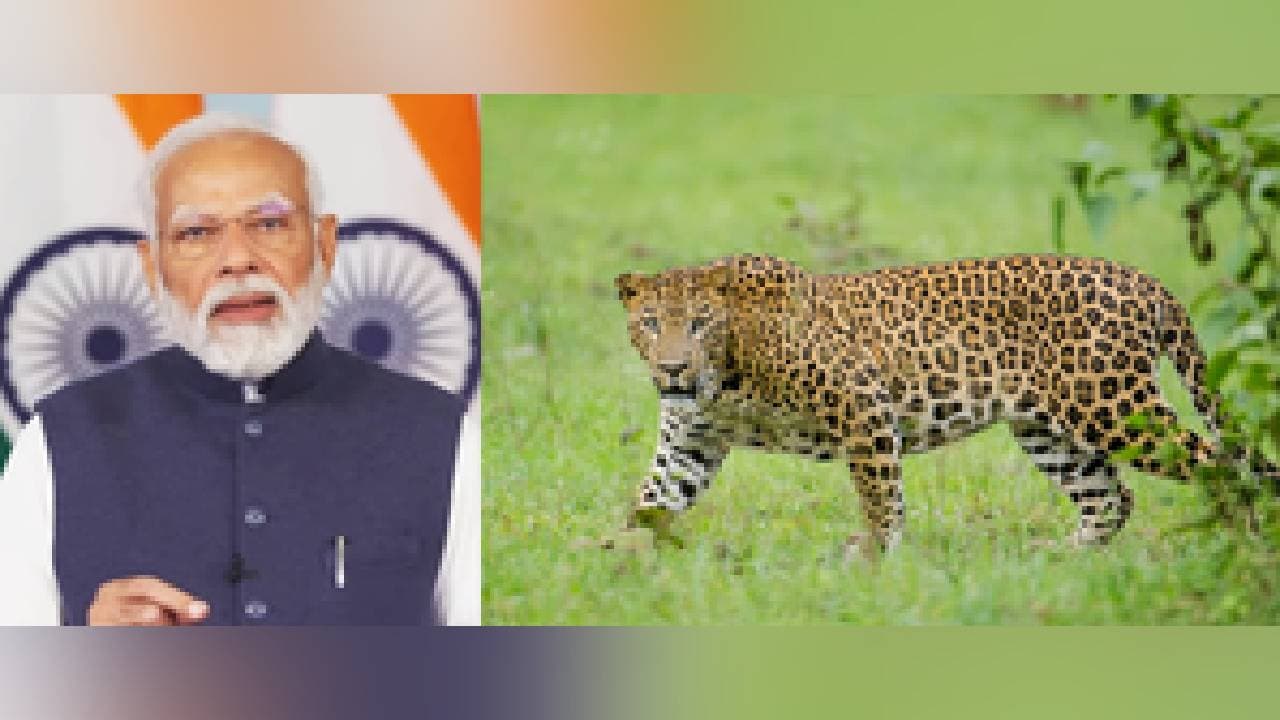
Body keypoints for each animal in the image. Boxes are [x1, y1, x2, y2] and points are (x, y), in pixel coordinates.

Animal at [614, 253, 1279, 551]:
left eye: (699, 323)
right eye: (650, 323)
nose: (673, 367)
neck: (725, 372)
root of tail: (1144, 280)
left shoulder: (862, 403)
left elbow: (880, 497)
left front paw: (873, 562)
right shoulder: (690, 441)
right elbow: (651, 502)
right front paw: (613, 565)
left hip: (1115, 408)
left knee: (1221, 465)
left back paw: (1246, 547)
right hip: (1049, 430)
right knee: (1111, 497)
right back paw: (1062, 562)